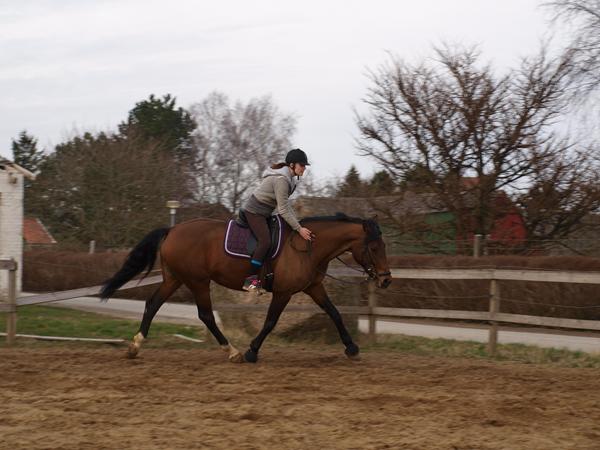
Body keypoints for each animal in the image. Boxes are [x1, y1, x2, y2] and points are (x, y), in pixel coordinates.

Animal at [100, 213, 392, 364]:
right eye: (374, 247)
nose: (386, 280)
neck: (308, 247)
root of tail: (172, 230)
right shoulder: (284, 292)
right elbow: (271, 321)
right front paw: (252, 350)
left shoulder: (314, 288)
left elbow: (335, 313)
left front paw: (351, 348)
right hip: (197, 281)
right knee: (205, 315)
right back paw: (233, 351)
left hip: (175, 279)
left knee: (152, 304)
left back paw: (135, 346)